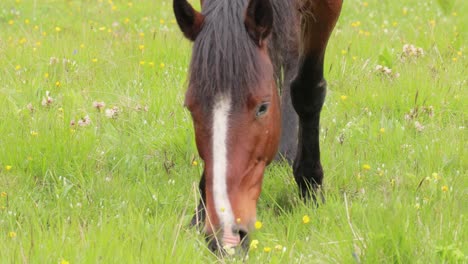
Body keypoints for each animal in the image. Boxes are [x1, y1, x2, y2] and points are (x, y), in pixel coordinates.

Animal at [174, 0, 342, 252]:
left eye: (263, 107)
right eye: (190, 108)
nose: (227, 233)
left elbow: (307, 89)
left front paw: (310, 186)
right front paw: (201, 212)